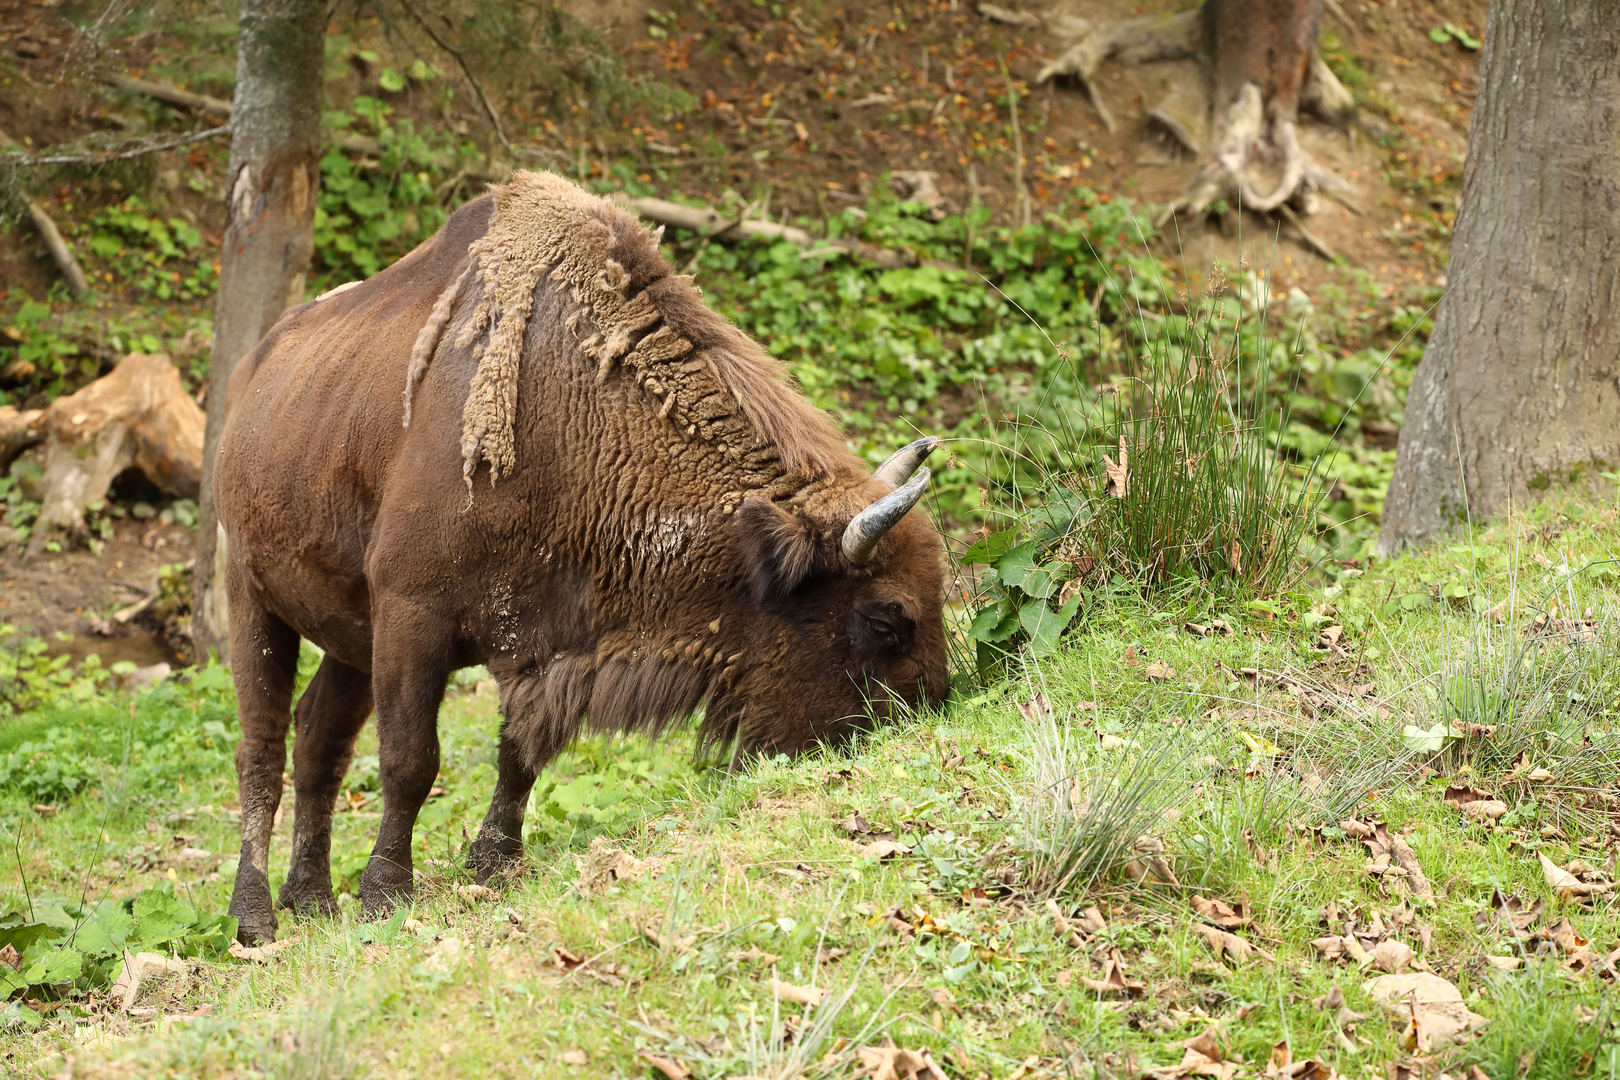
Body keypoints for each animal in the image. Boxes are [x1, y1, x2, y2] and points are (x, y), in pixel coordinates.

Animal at [215, 170, 946, 945]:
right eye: (887, 621)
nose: (929, 713)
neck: (571, 419)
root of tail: (250, 375)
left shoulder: (542, 642)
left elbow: (520, 755)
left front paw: (494, 865)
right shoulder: (414, 618)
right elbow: (412, 759)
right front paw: (388, 896)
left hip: (348, 634)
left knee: (317, 740)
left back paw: (311, 899)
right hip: (253, 601)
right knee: (261, 748)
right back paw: (254, 916)